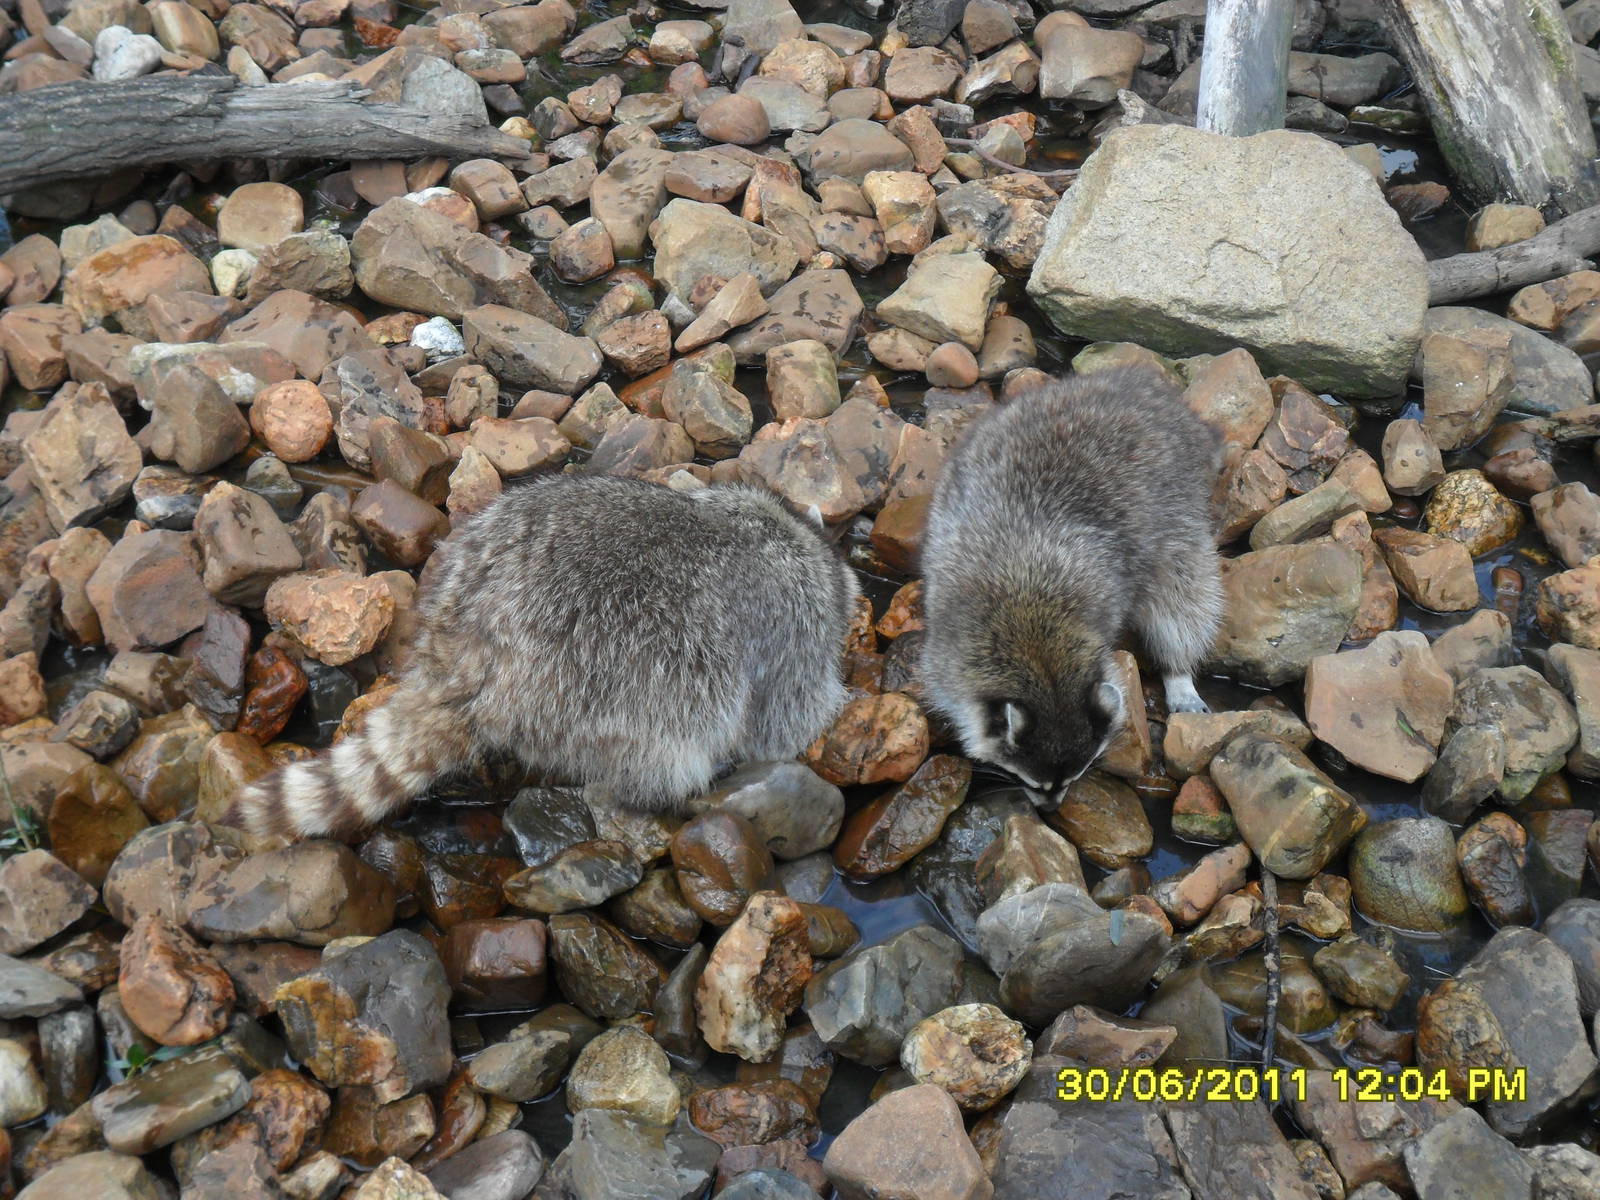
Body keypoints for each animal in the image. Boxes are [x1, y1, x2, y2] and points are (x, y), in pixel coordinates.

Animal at [226, 475, 860, 840]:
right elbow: (783, 720)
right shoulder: (793, 629)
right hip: (628, 688)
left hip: (476, 551)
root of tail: (464, 659)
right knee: (673, 739)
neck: (780, 529)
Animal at [919, 368, 1224, 802]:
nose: (1050, 809)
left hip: (1180, 510)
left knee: (1182, 599)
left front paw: (1177, 669)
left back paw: (1177, 670)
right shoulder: (947, 640)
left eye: (1073, 777)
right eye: (1032, 782)